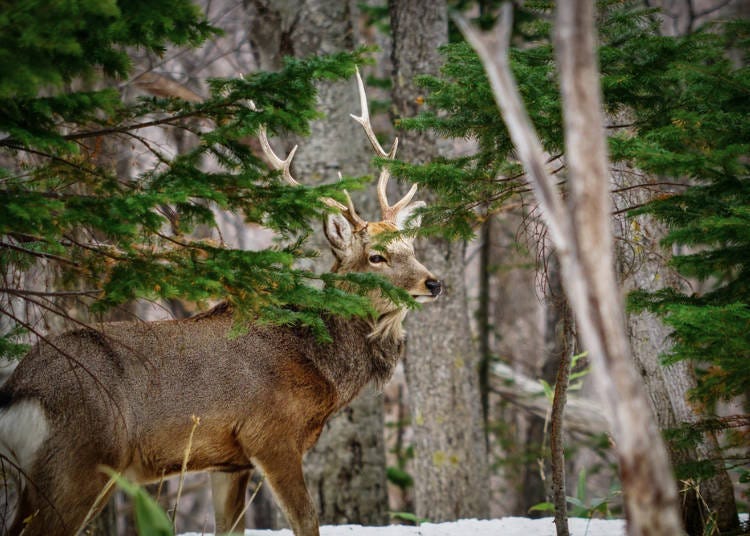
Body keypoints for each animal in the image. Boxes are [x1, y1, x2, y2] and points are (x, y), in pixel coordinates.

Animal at [0, 68, 440, 536]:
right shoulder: (269, 436)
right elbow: (307, 522)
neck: (319, 365)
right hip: (78, 460)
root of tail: (17, 391)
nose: (434, 283)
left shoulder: (227, 462)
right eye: (376, 256)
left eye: (411, 246)